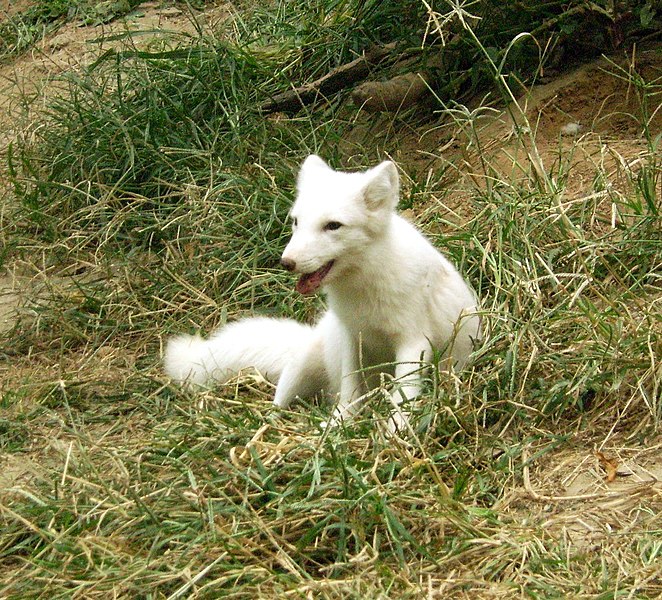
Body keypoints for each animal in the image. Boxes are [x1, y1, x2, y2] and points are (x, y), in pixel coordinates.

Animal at [163, 154, 480, 426]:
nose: (286, 262)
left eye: (333, 226)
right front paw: (338, 427)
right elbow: (351, 391)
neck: (363, 288)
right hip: (301, 367)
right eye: (296, 222)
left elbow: (404, 393)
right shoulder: (353, 337)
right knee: (280, 404)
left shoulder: (413, 341)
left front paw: (397, 430)